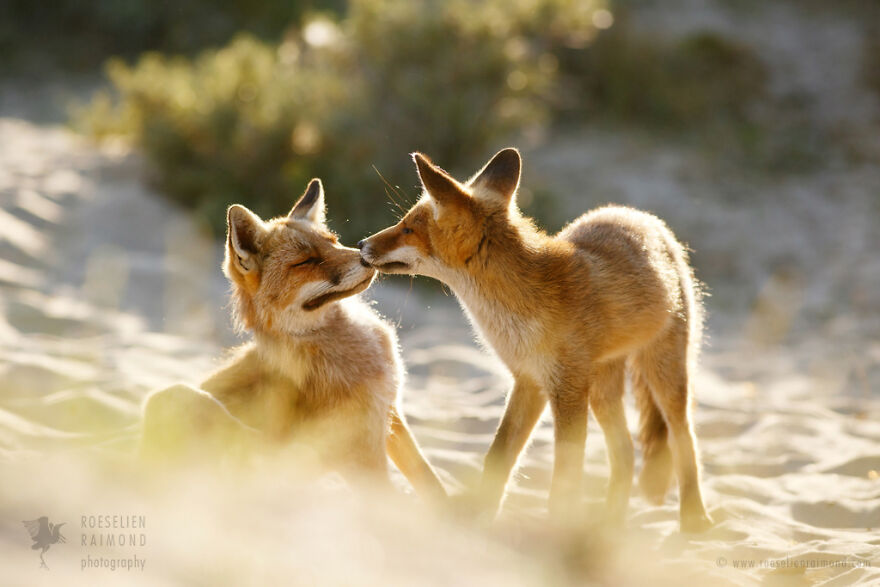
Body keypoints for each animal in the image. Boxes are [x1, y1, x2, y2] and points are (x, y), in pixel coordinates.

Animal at [145, 178, 450, 500]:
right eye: (306, 261)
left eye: (333, 241)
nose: (366, 256)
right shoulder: (360, 452)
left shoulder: (389, 414)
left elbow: (432, 485)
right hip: (175, 398)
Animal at [358, 148, 716, 532]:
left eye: (407, 228)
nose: (361, 244)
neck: (518, 314)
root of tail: (640, 215)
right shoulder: (529, 380)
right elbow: (498, 457)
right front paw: (480, 523)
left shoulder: (567, 388)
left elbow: (565, 479)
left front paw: (556, 528)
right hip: (602, 390)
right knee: (624, 453)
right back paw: (609, 525)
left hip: (664, 375)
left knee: (684, 440)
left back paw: (694, 517)